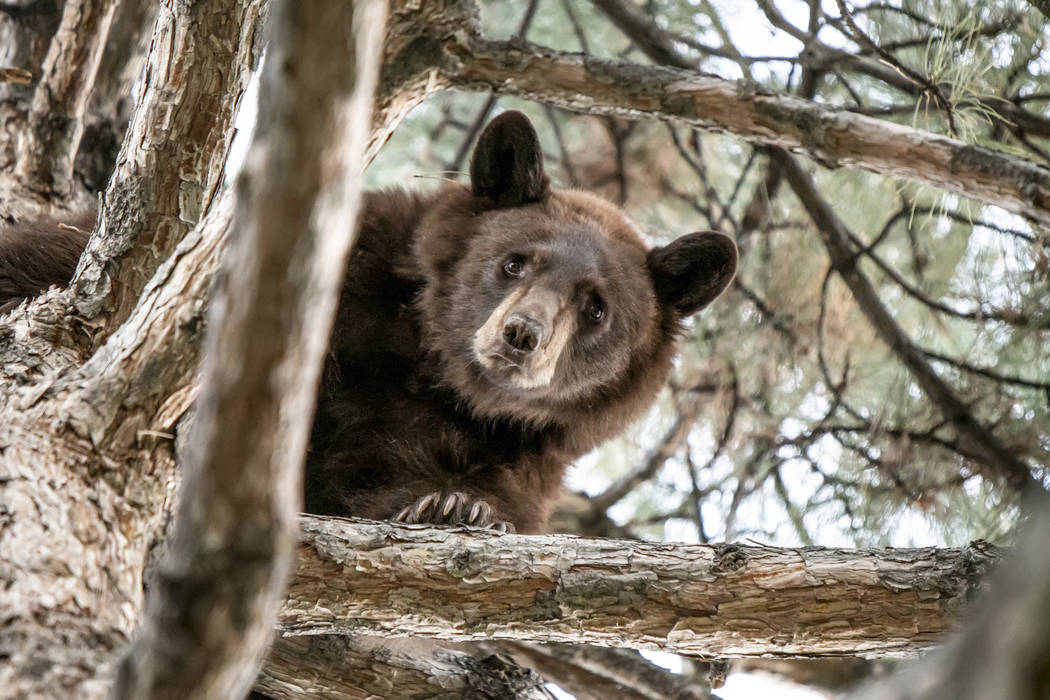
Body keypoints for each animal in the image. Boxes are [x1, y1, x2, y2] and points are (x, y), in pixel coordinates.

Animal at [2, 112, 739, 533]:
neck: (436, 377)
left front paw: (456, 506)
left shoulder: (522, 456)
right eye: (514, 261)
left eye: (596, 308)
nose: (521, 336)